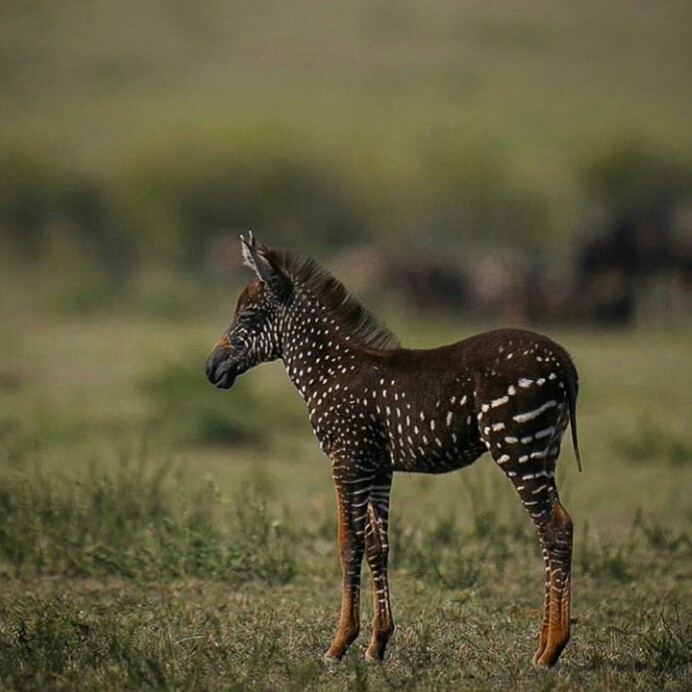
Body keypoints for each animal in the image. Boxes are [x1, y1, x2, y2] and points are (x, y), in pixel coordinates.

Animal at [206, 233, 581, 668]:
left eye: (248, 317)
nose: (211, 369)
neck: (329, 370)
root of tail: (563, 359)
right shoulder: (378, 467)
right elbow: (377, 546)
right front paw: (377, 643)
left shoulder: (347, 459)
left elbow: (347, 542)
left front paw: (339, 644)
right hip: (543, 451)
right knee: (551, 530)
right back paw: (542, 645)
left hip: (518, 448)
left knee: (555, 527)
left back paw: (551, 650)